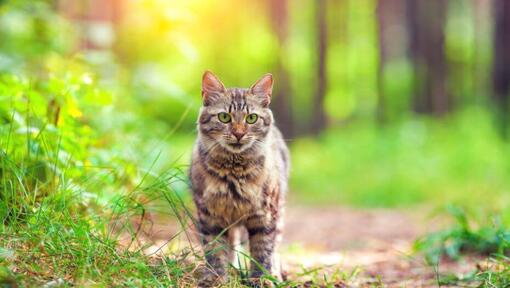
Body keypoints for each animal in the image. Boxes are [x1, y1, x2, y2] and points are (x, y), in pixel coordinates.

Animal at [189, 71, 288, 286]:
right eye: (224, 117)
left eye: (251, 118)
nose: (239, 133)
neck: (234, 172)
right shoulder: (210, 216)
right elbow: (215, 250)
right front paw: (216, 278)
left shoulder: (265, 215)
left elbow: (262, 252)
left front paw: (261, 279)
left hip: (279, 210)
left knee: (275, 247)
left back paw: (275, 274)